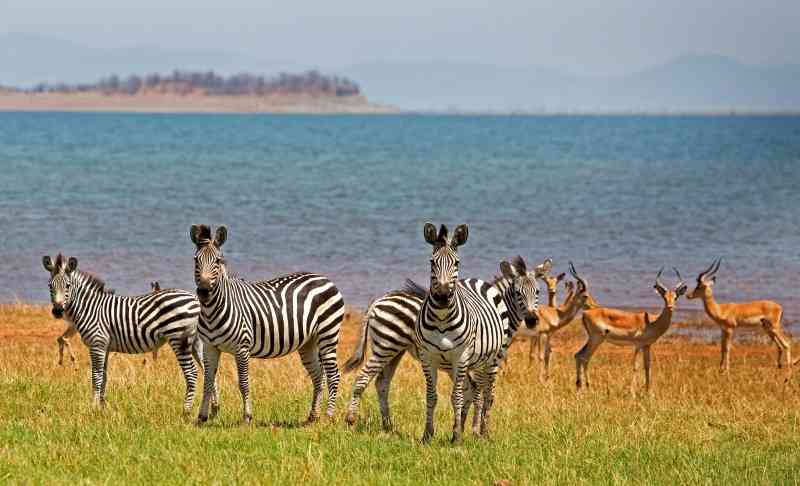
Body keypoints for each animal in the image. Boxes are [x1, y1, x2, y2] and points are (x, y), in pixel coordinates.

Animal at [42, 254, 204, 411]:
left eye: (68, 286)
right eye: (49, 285)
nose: (57, 311)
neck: (91, 308)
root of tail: (195, 299)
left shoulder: (97, 344)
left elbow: (96, 375)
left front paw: (93, 407)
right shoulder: (105, 347)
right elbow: (104, 376)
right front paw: (102, 407)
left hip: (179, 338)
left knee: (191, 373)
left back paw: (186, 410)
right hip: (196, 342)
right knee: (205, 370)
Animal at [189, 224, 346, 425]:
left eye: (218, 261)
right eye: (196, 260)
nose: (203, 292)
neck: (212, 311)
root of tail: (325, 278)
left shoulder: (242, 348)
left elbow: (243, 383)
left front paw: (247, 418)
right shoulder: (210, 347)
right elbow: (208, 381)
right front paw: (201, 418)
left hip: (328, 333)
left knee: (333, 375)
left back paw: (328, 416)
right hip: (309, 342)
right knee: (318, 375)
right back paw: (313, 417)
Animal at [344, 256, 540, 431]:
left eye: (538, 292)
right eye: (518, 293)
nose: (532, 320)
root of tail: (377, 301)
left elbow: (468, 392)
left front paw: (460, 427)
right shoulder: (487, 362)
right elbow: (482, 394)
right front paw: (475, 431)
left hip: (394, 351)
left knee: (382, 383)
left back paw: (388, 426)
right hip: (386, 346)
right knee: (363, 378)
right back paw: (351, 420)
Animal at [414, 223, 538, 443]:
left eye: (457, 263)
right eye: (432, 262)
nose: (443, 296)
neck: (441, 318)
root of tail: (476, 280)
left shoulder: (461, 357)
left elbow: (458, 396)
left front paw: (457, 436)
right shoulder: (427, 357)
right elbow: (431, 396)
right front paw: (428, 435)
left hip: (490, 360)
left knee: (486, 394)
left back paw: (482, 432)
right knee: (477, 392)